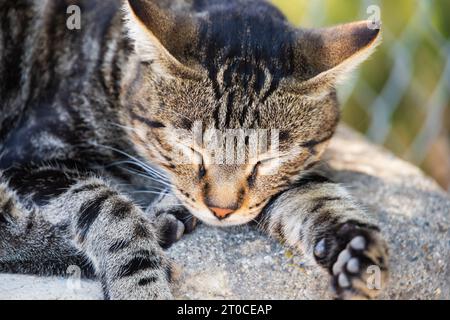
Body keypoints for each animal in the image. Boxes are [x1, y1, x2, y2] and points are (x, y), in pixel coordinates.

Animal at [0, 0, 386, 300]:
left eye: (267, 160)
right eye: (191, 149)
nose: (221, 210)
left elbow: (317, 194)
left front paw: (354, 248)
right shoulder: (34, 152)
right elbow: (107, 207)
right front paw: (140, 283)